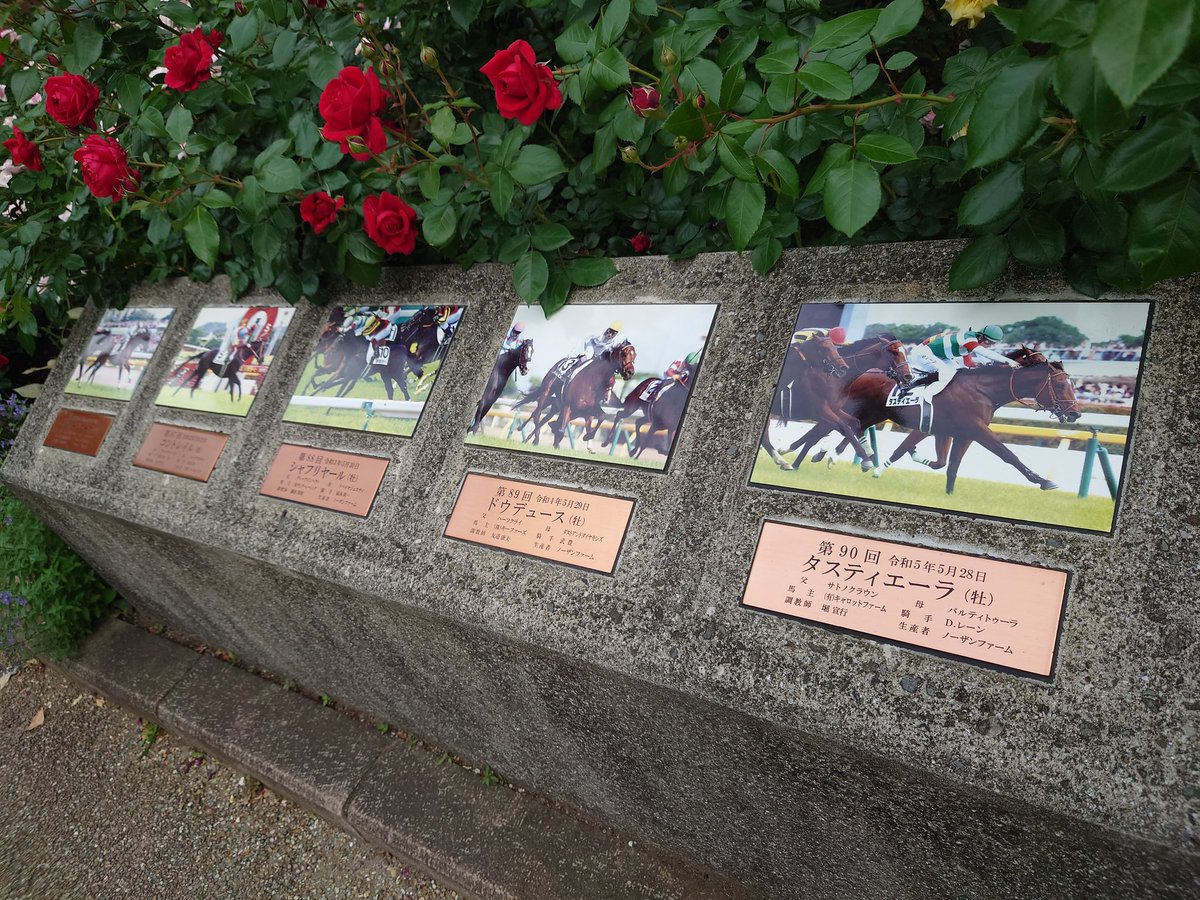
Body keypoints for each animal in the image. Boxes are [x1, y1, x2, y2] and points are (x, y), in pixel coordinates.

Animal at [763, 336, 912, 468]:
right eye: (894, 352)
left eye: (905, 353)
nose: (908, 376)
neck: (834, 380)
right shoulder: (820, 411)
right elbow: (842, 428)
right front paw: (865, 460)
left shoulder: (835, 409)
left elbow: (853, 423)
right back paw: (783, 461)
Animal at [816, 350, 1080, 494]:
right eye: (1060, 385)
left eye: (1072, 384)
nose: (1075, 413)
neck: (983, 391)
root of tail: (863, 372)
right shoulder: (977, 430)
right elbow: (1008, 455)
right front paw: (1043, 481)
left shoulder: (959, 433)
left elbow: (947, 465)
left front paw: (949, 495)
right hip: (860, 409)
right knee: (837, 424)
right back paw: (824, 453)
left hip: (877, 414)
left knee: (852, 428)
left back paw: (836, 456)